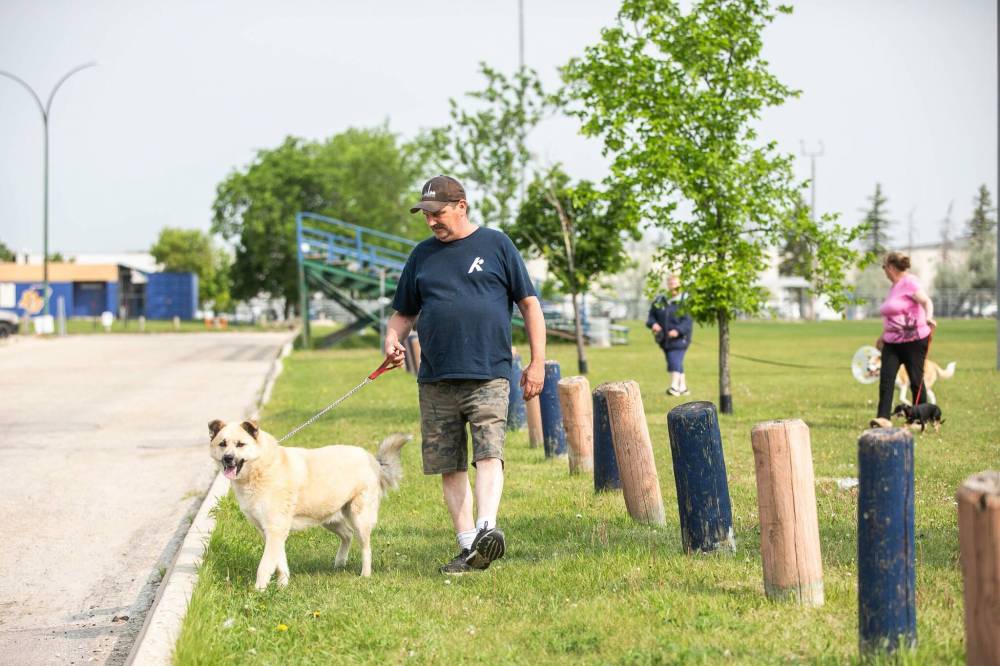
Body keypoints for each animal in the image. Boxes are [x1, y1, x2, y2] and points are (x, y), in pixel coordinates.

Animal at [208, 419, 409, 590]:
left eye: (240, 444)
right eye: (222, 444)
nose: (227, 458)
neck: (262, 467)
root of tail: (372, 459)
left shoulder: (275, 530)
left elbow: (265, 565)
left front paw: (259, 591)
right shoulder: (270, 532)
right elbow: (280, 562)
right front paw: (283, 586)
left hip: (359, 518)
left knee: (366, 548)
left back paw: (365, 575)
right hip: (329, 517)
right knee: (347, 534)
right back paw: (339, 563)